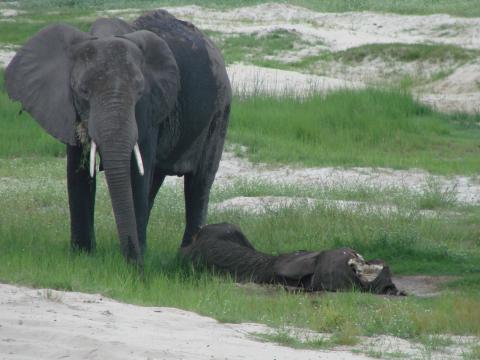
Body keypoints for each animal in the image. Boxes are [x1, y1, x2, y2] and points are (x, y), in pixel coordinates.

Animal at [5, 10, 231, 264]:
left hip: (220, 110)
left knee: (198, 184)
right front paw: (82, 255)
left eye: (139, 92)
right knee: (156, 180)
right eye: (83, 92)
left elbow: (136, 172)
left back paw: (185, 256)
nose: (137, 266)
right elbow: (78, 171)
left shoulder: (147, 109)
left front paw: (134, 258)